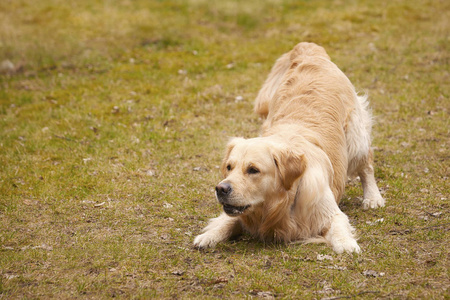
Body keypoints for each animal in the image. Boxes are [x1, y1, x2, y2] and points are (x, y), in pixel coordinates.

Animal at [192, 42, 384, 253]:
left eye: (253, 170)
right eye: (229, 167)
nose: (221, 189)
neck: (279, 207)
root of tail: (308, 48)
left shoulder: (330, 213)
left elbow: (339, 227)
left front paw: (346, 245)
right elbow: (227, 220)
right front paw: (209, 236)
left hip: (355, 138)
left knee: (366, 166)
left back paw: (373, 198)